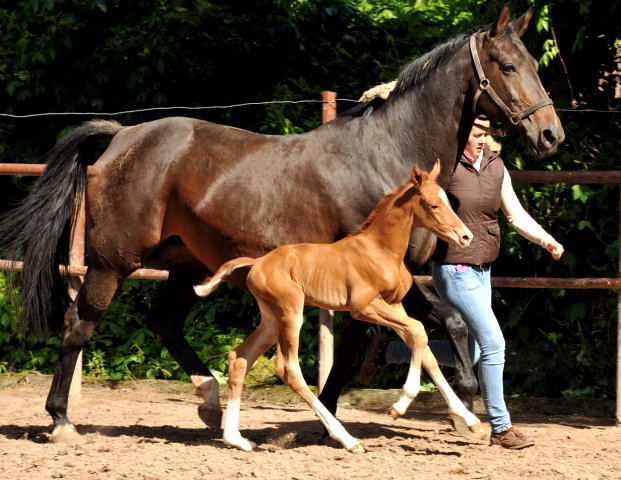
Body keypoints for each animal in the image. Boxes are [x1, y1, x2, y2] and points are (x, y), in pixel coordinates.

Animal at [196, 160, 482, 450]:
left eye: (448, 202)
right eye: (434, 205)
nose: (466, 237)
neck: (380, 250)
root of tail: (257, 263)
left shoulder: (396, 306)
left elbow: (425, 351)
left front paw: (470, 421)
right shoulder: (364, 307)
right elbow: (419, 331)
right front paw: (399, 407)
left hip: (271, 319)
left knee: (239, 358)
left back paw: (237, 440)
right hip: (291, 313)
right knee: (288, 369)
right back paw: (347, 439)